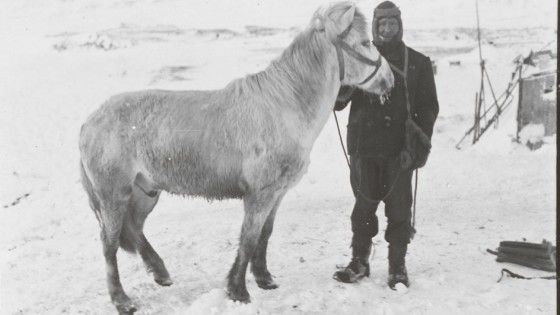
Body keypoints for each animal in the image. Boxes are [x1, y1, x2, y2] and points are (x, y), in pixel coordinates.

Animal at [79, 1, 394, 314]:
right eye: (365, 43)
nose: (390, 79)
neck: (285, 106)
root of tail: (90, 121)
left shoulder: (276, 195)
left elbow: (264, 236)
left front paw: (264, 279)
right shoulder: (259, 194)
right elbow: (248, 239)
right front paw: (239, 291)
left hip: (145, 192)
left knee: (134, 228)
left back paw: (160, 272)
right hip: (114, 195)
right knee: (109, 243)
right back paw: (122, 300)